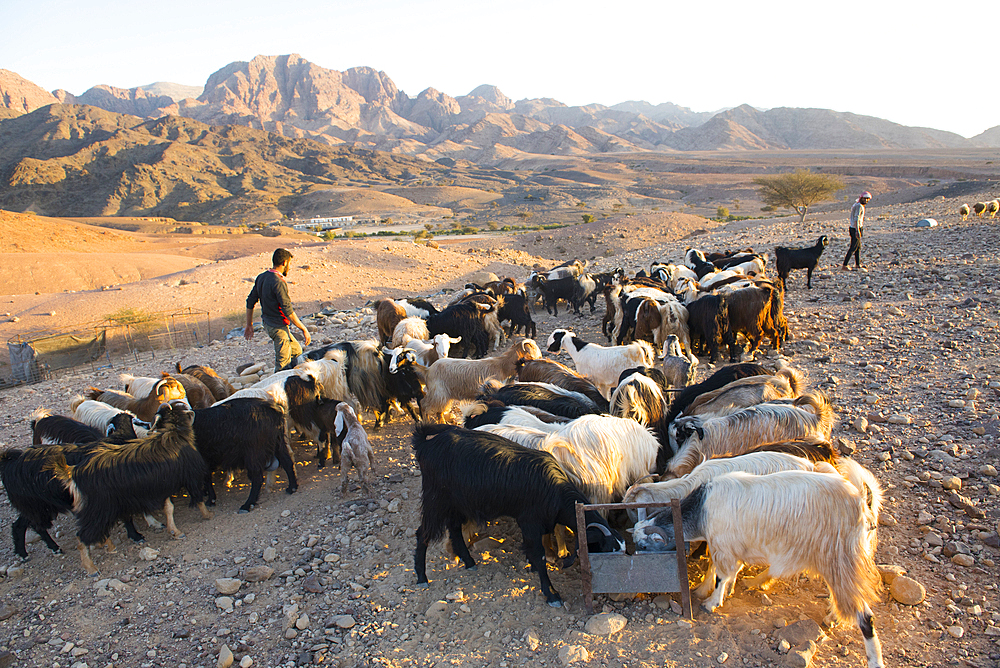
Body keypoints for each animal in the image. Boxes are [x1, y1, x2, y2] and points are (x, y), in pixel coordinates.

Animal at [410, 426, 620, 608]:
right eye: (606, 550)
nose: (612, 589)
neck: (554, 489)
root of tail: (425, 445)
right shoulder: (530, 521)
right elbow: (539, 555)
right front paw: (552, 594)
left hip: (458, 503)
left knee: (454, 529)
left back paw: (469, 562)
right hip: (435, 500)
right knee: (423, 533)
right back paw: (422, 578)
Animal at [632, 470, 884, 668]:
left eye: (643, 545)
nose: (629, 552)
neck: (702, 509)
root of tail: (864, 505)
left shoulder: (723, 545)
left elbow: (721, 574)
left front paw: (712, 601)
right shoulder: (732, 547)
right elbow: (729, 571)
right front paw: (721, 590)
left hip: (840, 559)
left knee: (865, 616)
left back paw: (874, 660)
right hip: (834, 563)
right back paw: (830, 616)